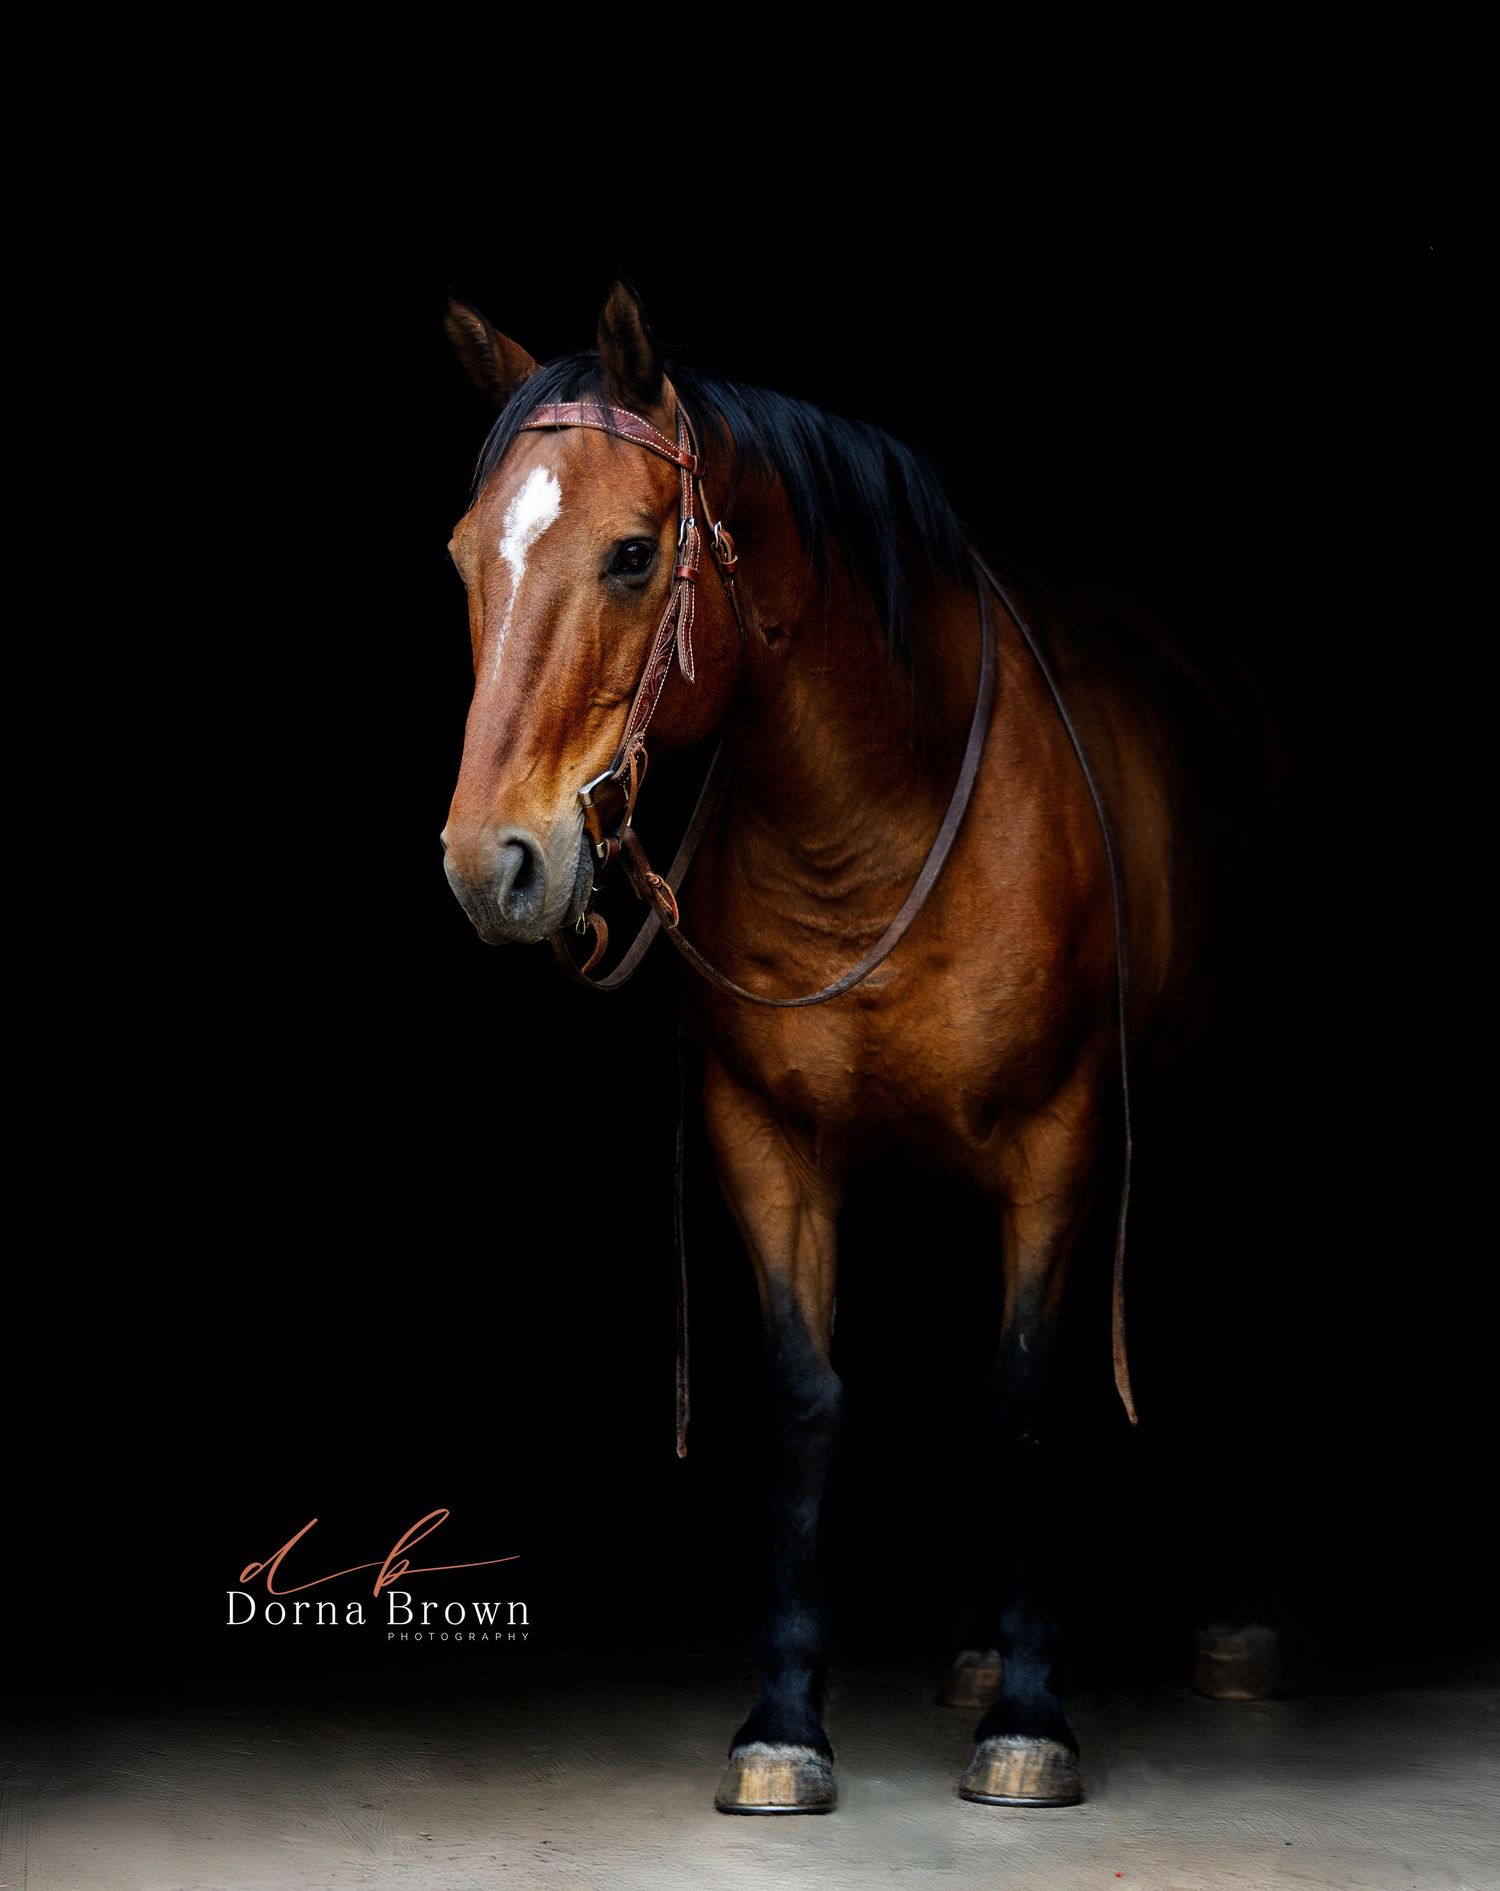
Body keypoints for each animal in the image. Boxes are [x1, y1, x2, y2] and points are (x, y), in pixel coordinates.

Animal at [438, 280, 1284, 1814]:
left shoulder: (1061, 1137)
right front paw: (786, 1719)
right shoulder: (765, 1145)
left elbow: (1025, 1391)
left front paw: (1032, 1715)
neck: (873, 816)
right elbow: (808, 1399)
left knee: (1215, 1315)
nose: (494, 864)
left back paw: (1232, 1636)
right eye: (469, 555)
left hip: (1226, 1122)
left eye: (634, 554)